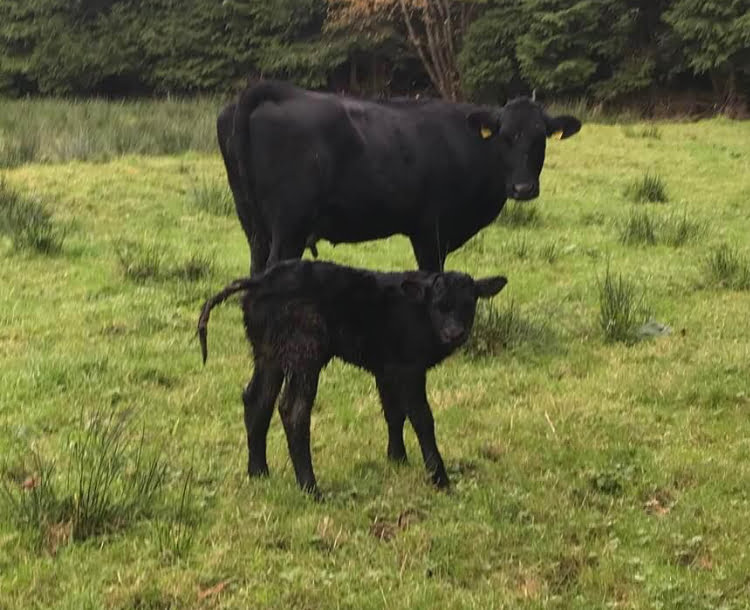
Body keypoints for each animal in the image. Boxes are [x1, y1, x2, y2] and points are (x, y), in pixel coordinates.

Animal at [197, 259, 507, 496]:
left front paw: (397, 459)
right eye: (439, 305)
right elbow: (421, 417)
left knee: (257, 400)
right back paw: (310, 488)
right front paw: (439, 478)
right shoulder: (409, 368)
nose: (455, 333)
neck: (417, 312)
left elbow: (394, 413)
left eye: (469, 304)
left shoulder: (386, 367)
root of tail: (261, 280)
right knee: (293, 409)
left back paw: (259, 472)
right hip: (304, 351)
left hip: (268, 353)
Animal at [217, 80, 581, 276]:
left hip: (252, 219)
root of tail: (283, 91)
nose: (523, 188)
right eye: (504, 137)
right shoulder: (430, 230)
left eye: (541, 138)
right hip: (290, 222)